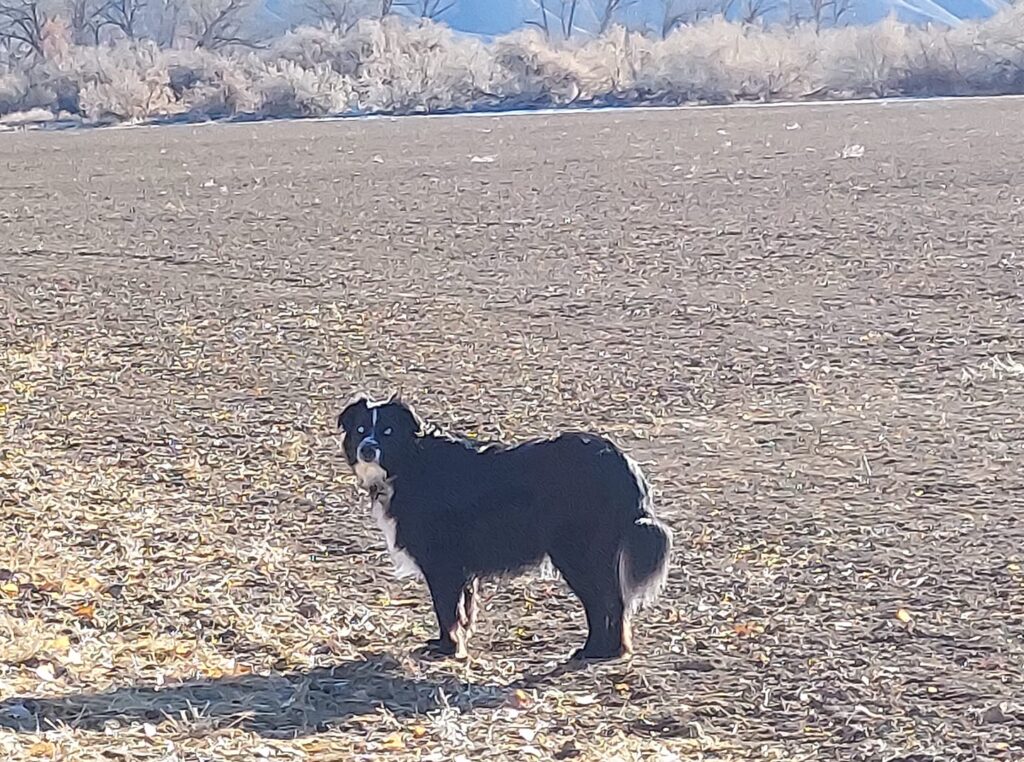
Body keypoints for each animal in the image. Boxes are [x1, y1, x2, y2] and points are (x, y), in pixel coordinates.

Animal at [335, 393, 671, 659]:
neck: (411, 462)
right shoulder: (460, 568)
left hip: (577, 554)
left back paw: (596, 651)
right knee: (615, 603)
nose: (367, 448)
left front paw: (447, 648)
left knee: (606, 603)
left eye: (387, 431)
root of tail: (622, 461)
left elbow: (445, 610)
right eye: (361, 429)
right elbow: (463, 609)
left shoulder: (442, 563)